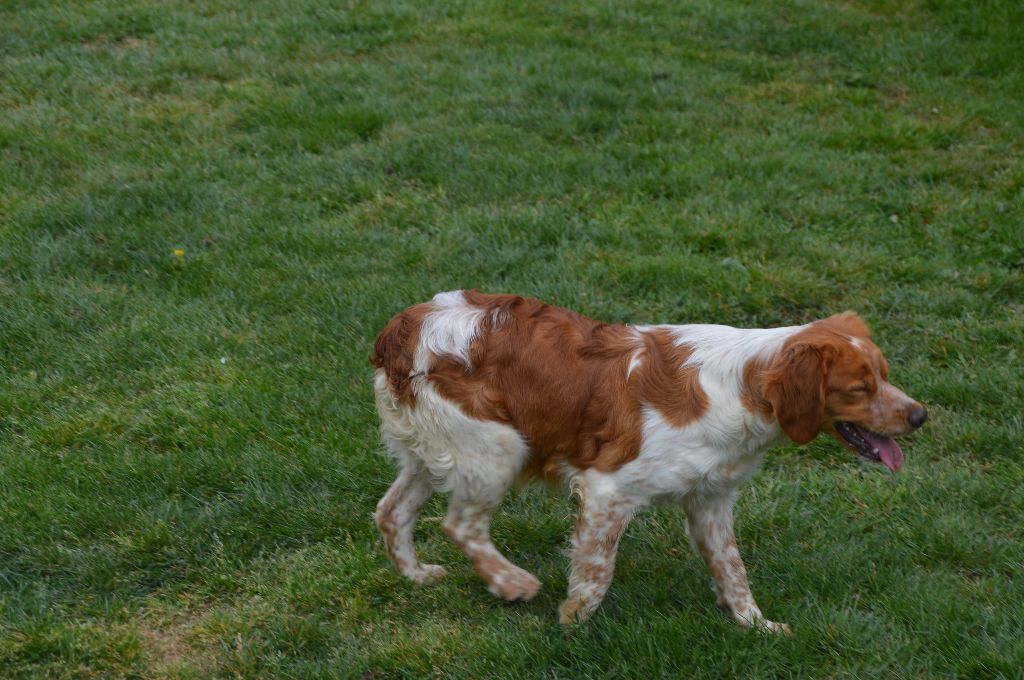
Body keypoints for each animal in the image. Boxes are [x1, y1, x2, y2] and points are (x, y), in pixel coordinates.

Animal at [370, 291, 926, 631]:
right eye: (859, 388)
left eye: (884, 375)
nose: (920, 415)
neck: (739, 388)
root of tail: (401, 326)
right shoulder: (607, 490)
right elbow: (598, 569)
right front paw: (572, 620)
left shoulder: (710, 500)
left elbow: (733, 570)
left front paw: (757, 625)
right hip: (498, 447)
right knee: (460, 524)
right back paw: (512, 583)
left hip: (434, 452)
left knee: (391, 511)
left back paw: (417, 576)